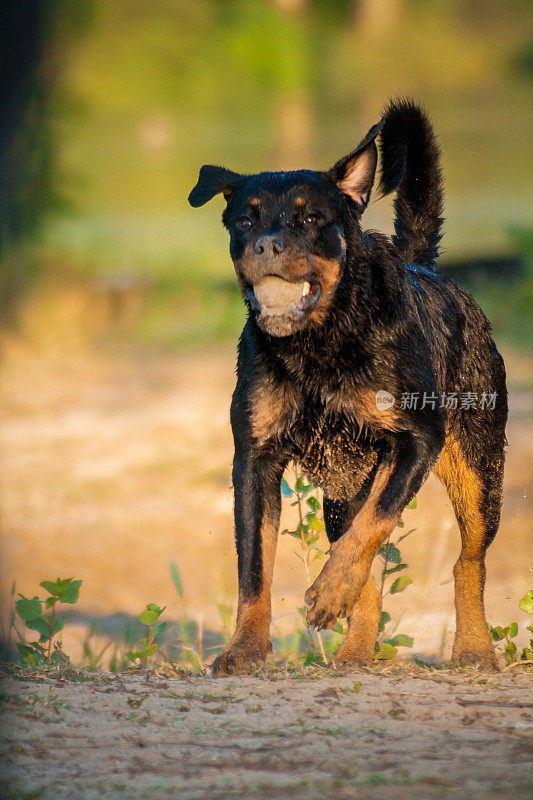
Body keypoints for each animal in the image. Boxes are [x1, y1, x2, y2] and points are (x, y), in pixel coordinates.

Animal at [188, 100, 508, 676]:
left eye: (312, 218)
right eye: (245, 219)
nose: (266, 244)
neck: (318, 347)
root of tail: (424, 266)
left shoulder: (418, 439)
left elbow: (376, 523)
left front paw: (329, 590)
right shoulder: (254, 458)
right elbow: (254, 568)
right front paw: (244, 649)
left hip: (477, 467)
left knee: (467, 561)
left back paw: (473, 648)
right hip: (341, 491)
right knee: (369, 576)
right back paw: (355, 653)